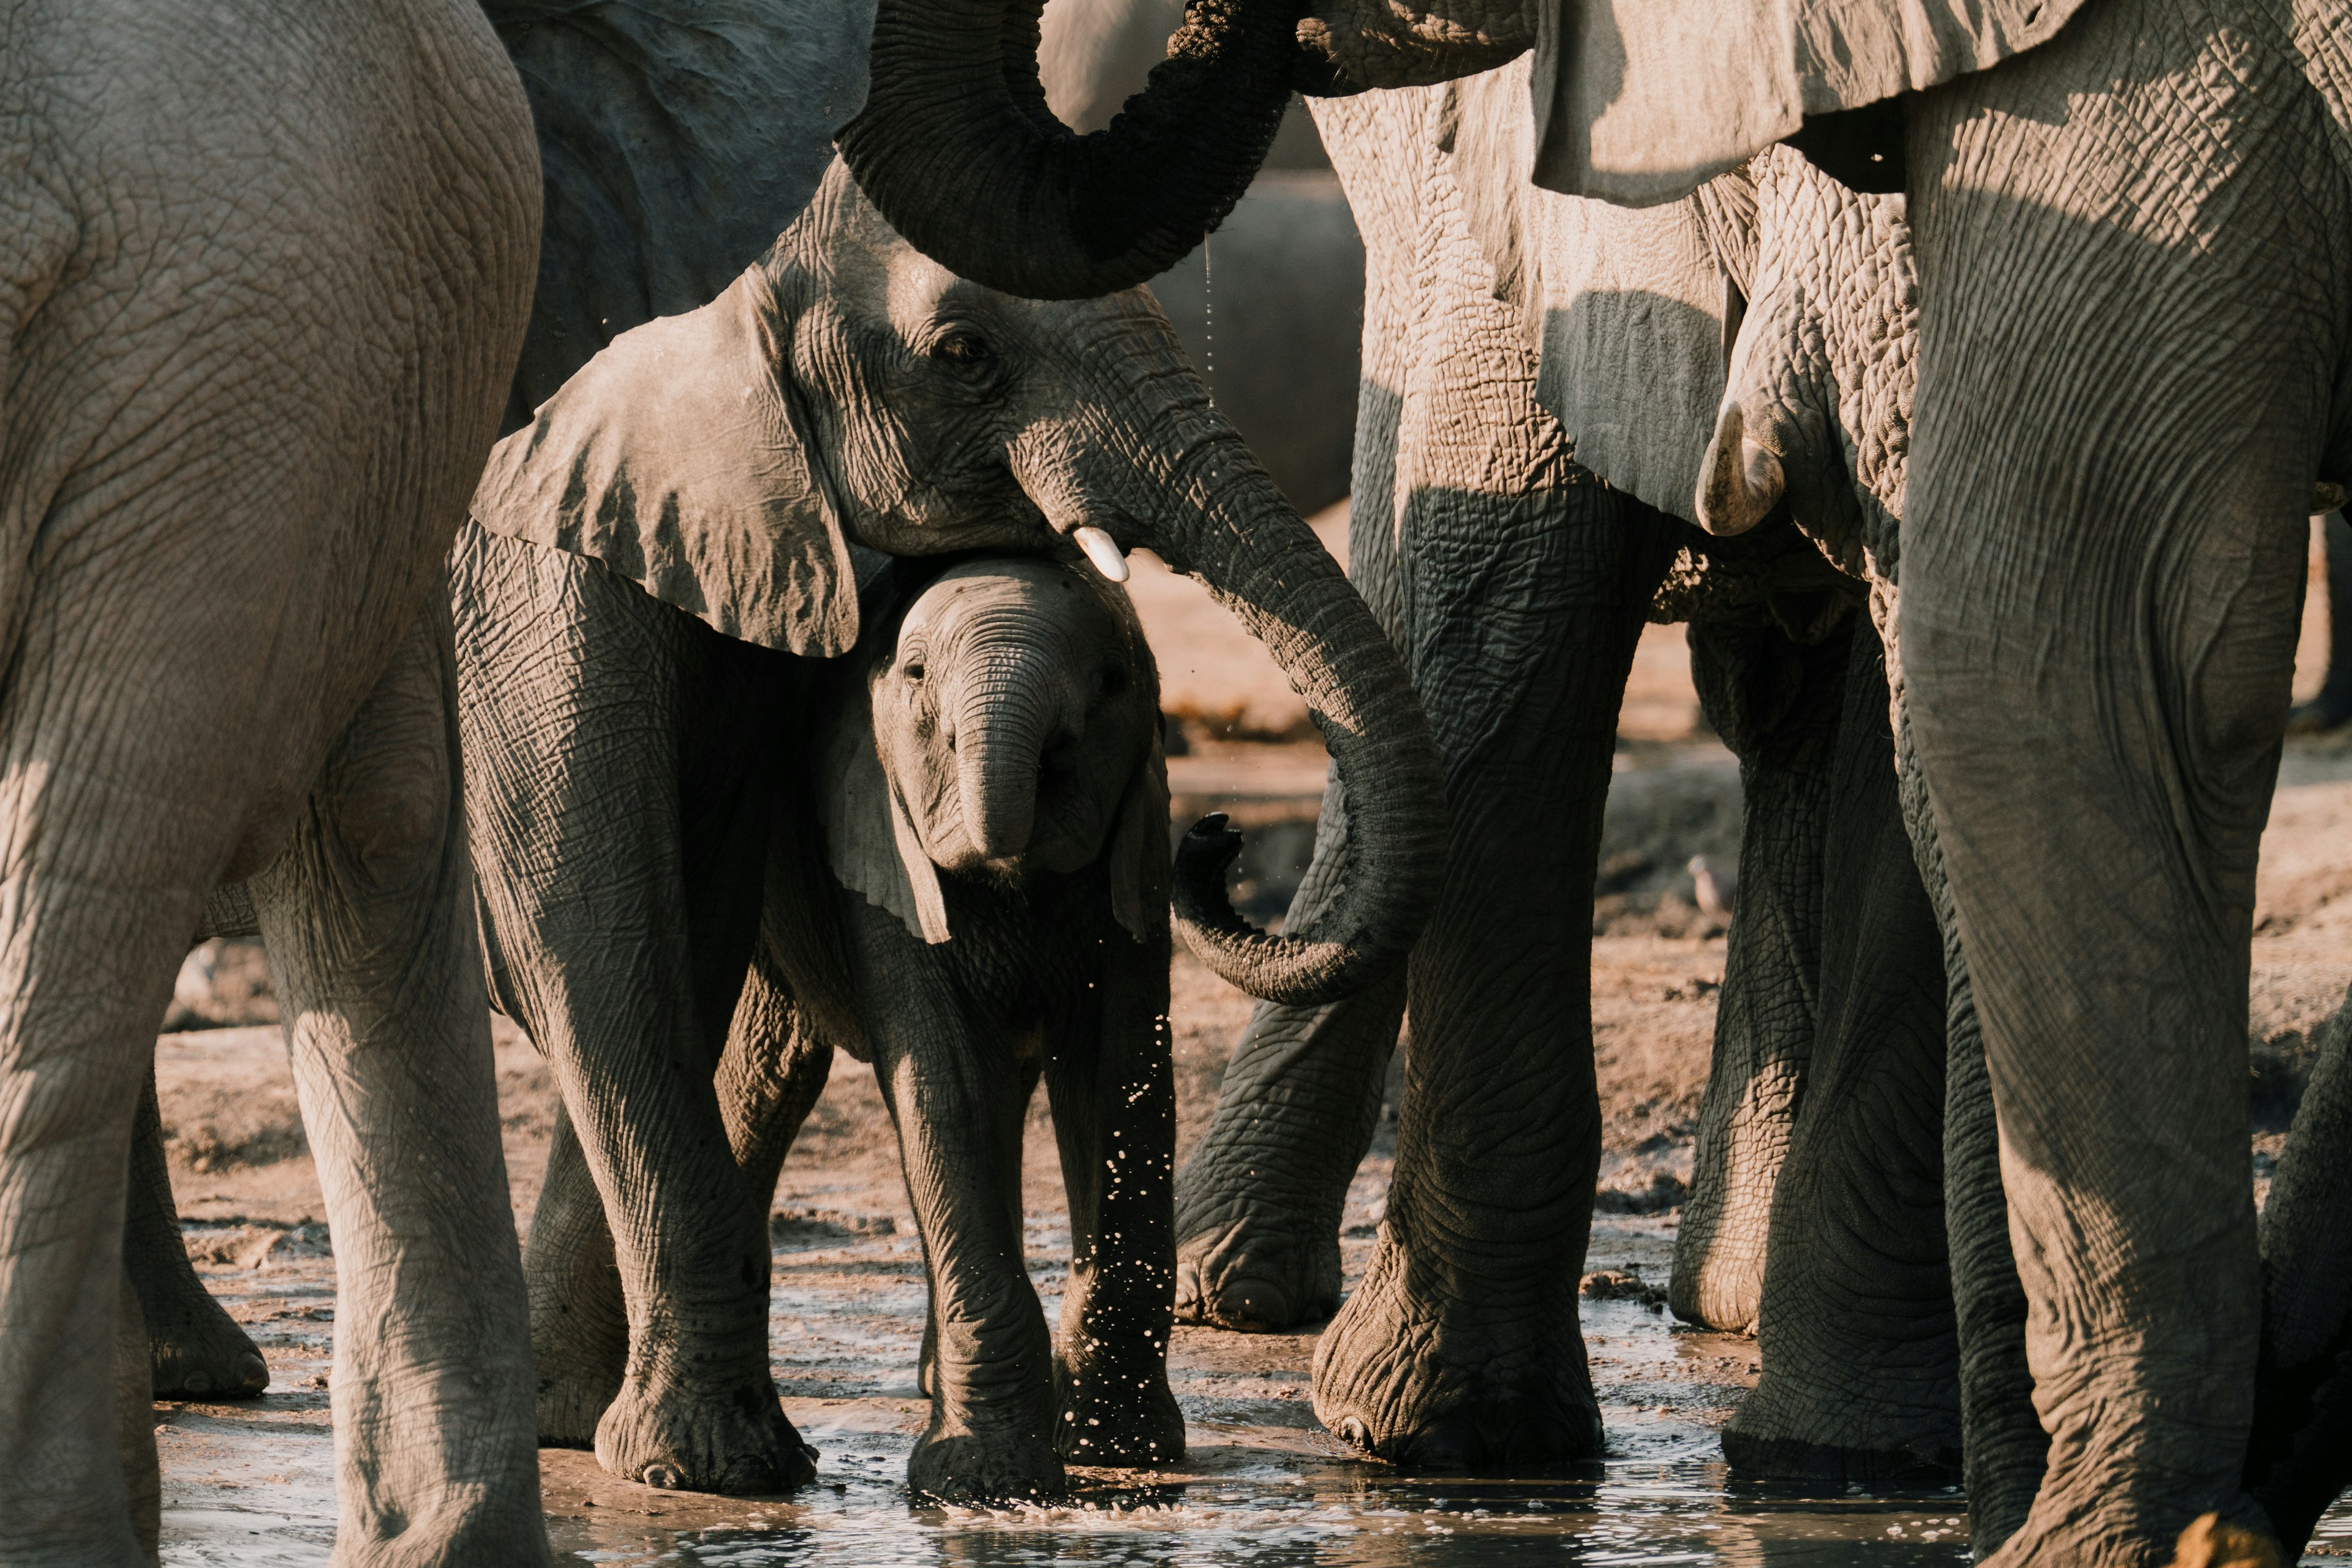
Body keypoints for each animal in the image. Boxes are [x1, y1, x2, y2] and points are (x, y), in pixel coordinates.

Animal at [531, 552, 1194, 1495]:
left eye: (1112, 682)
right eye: (914, 675)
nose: (1222, 838)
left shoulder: (1135, 850)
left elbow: (1120, 1077)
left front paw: (1114, 1449)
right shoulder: (877, 837)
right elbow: (947, 1081)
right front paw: (987, 1485)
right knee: (762, 1069)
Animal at [842, 3, 2352, 1568]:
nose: (1208, 840)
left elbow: (1961, 695)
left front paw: (1834, 1455)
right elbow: (1502, 600)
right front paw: (1439, 1436)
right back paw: (1241, 1289)